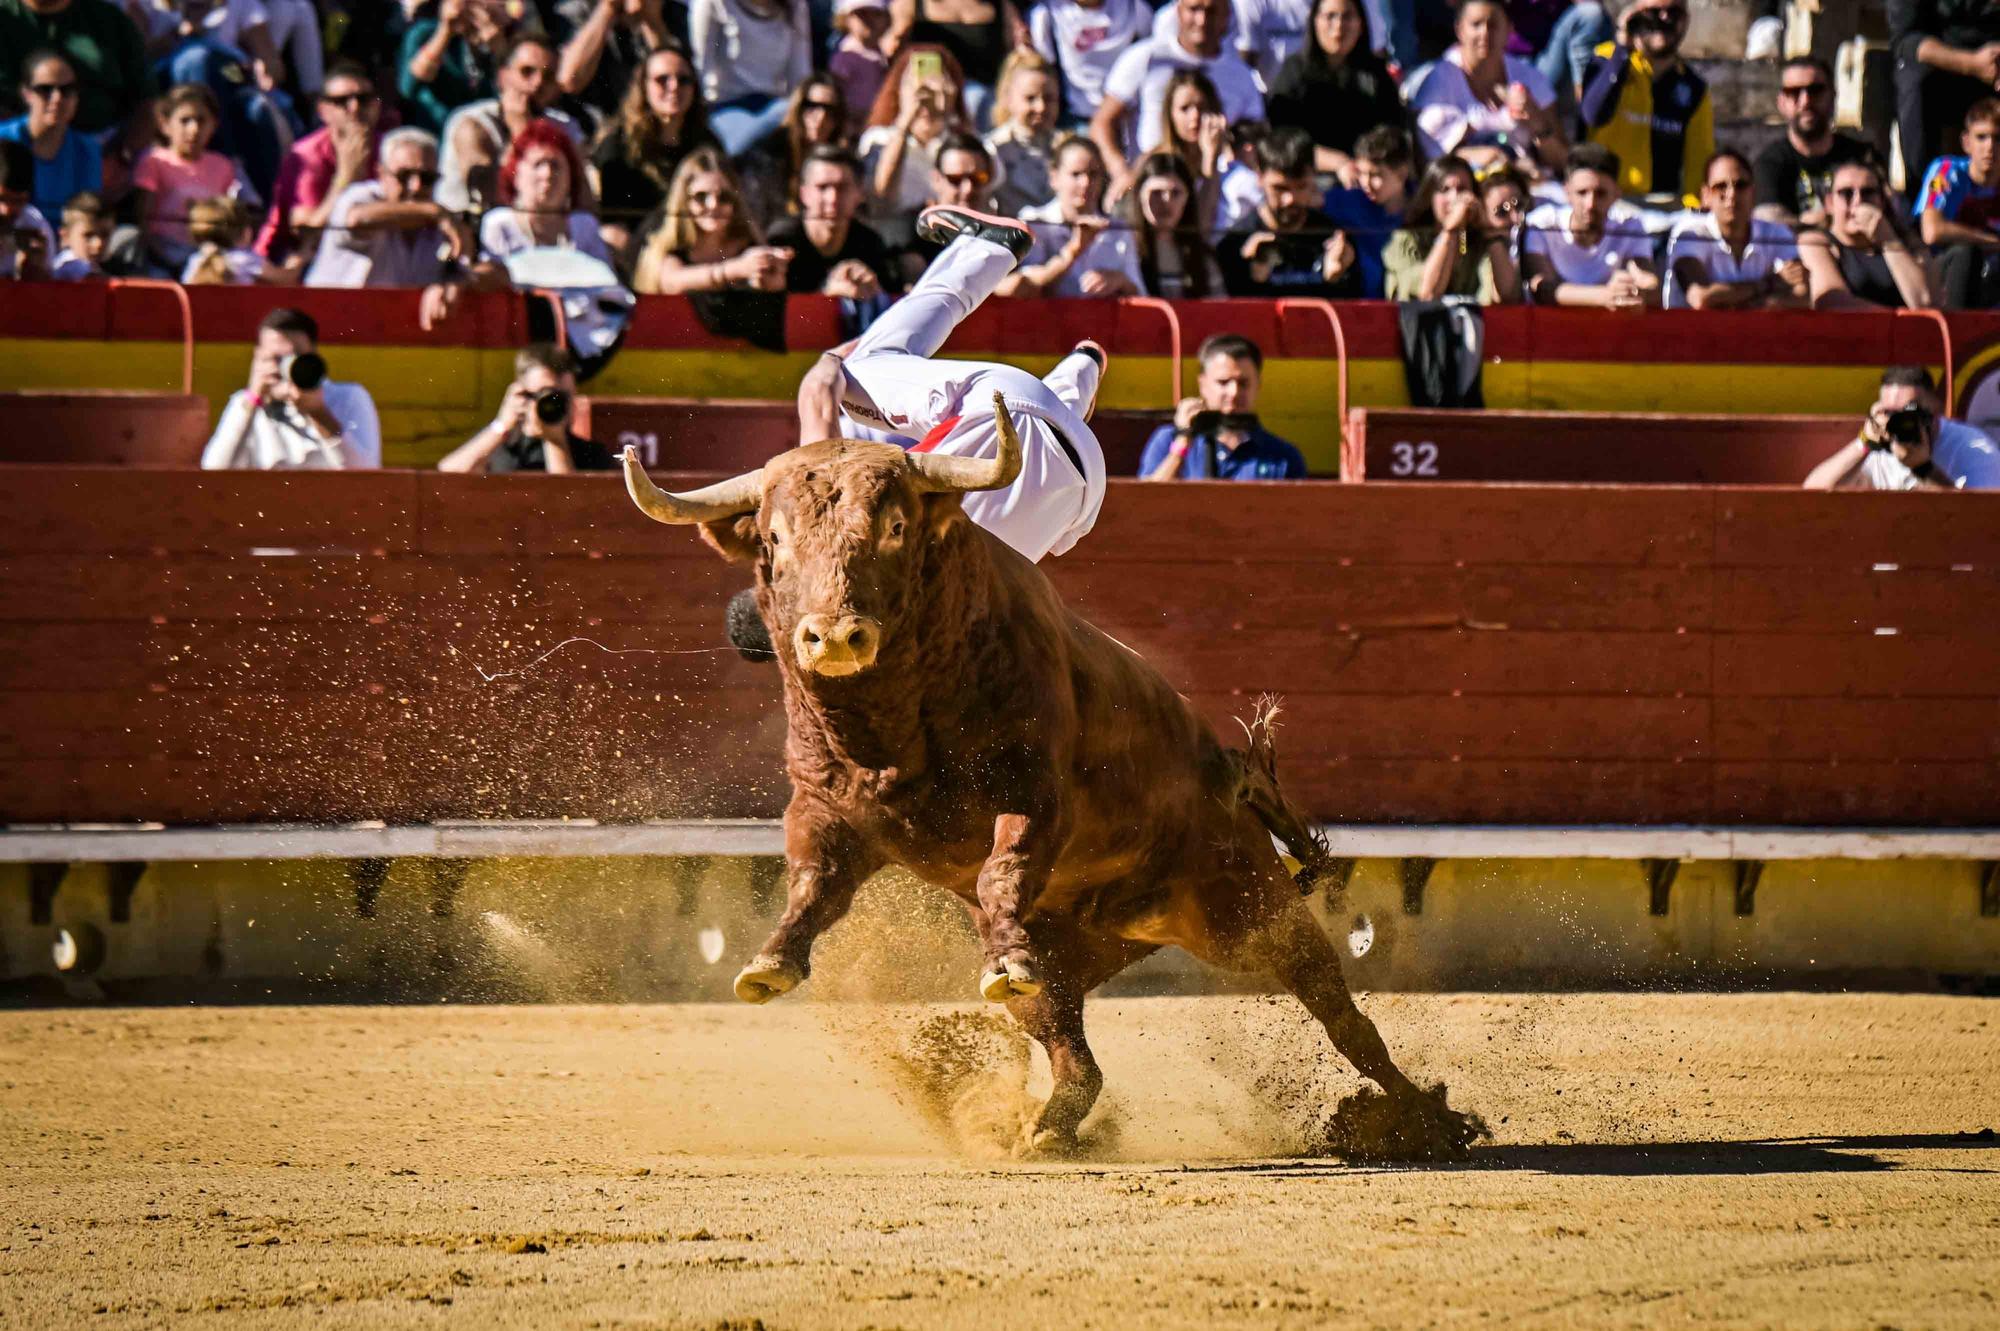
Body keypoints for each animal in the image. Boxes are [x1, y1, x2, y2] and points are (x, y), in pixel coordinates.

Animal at [624, 393, 1488, 1151]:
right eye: (773, 540)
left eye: (896, 525)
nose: (834, 634)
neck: (891, 720)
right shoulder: (825, 807)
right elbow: (812, 881)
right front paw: (769, 963)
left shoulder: (1032, 795)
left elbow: (1002, 867)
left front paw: (1000, 958)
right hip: (1086, 960)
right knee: (1075, 1051)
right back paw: (1046, 1125)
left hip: (1251, 908)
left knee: (1346, 1018)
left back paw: (1431, 1121)